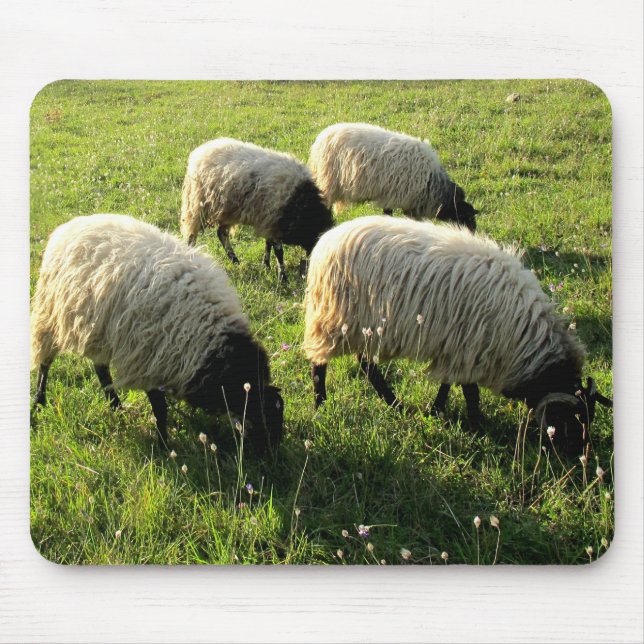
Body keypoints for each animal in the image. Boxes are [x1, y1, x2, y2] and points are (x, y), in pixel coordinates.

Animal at [31, 214, 283, 454]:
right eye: (259, 416)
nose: (270, 458)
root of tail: (69, 225)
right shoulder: (149, 359)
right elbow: (160, 408)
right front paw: (163, 445)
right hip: (50, 313)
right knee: (45, 362)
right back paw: (39, 402)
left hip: (97, 330)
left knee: (100, 368)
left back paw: (115, 405)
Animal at [180, 138, 334, 282]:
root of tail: (199, 151)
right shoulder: (273, 219)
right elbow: (279, 251)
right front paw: (282, 278)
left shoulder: (268, 221)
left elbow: (268, 245)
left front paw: (266, 266)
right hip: (197, 203)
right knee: (192, 234)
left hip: (227, 209)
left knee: (221, 233)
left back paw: (235, 260)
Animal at [302, 216, 612, 455]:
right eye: (573, 418)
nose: (577, 455)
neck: (523, 342)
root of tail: (326, 240)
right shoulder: (468, 349)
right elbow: (469, 392)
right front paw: (478, 425)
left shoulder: (454, 349)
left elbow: (448, 385)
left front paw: (438, 410)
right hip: (333, 320)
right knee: (321, 364)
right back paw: (322, 404)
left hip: (365, 329)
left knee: (367, 366)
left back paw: (394, 403)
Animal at [308, 122, 479, 231]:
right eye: (467, 218)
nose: (472, 234)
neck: (431, 183)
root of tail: (322, 136)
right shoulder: (391, 197)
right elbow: (388, 214)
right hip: (328, 182)